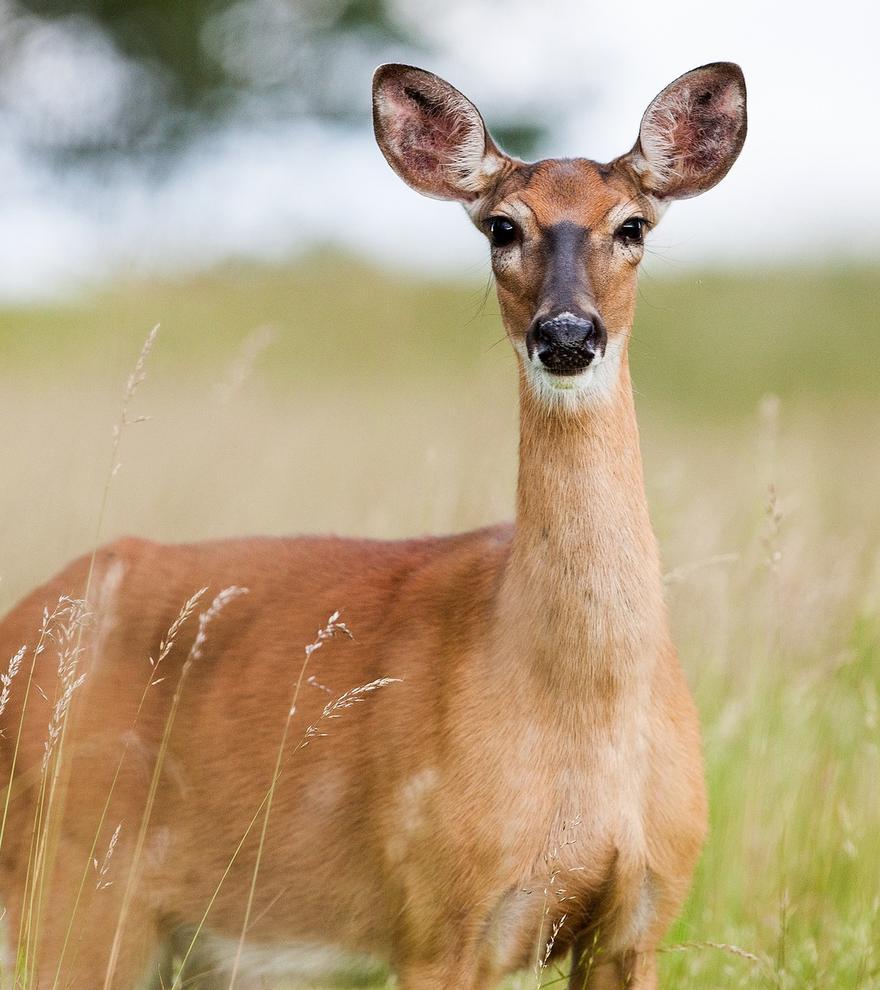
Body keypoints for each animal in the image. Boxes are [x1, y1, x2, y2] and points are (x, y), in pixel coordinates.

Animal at [0, 62, 744, 990]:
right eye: (502, 226)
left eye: (632, 225)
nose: (567, 333)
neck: (582, 711)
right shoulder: (438, 914)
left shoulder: (640, 915)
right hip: (73, 890)